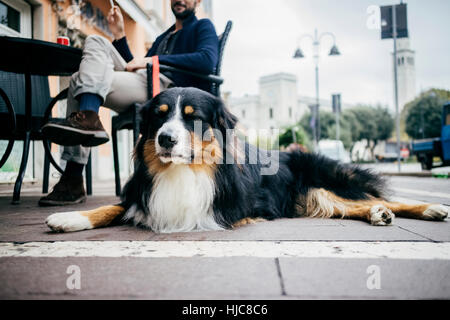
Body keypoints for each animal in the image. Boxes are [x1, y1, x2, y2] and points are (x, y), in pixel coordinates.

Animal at [44, 87, 446, 232]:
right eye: (158, 117)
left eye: (193, 117)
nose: (165, 139)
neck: (186, 170)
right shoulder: (141, 193)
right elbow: (114, 206)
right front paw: (70, 218)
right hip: (312, 199)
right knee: (357, 206)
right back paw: (380, 214)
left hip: (322, 183)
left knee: (378, 197)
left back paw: (428, 208)